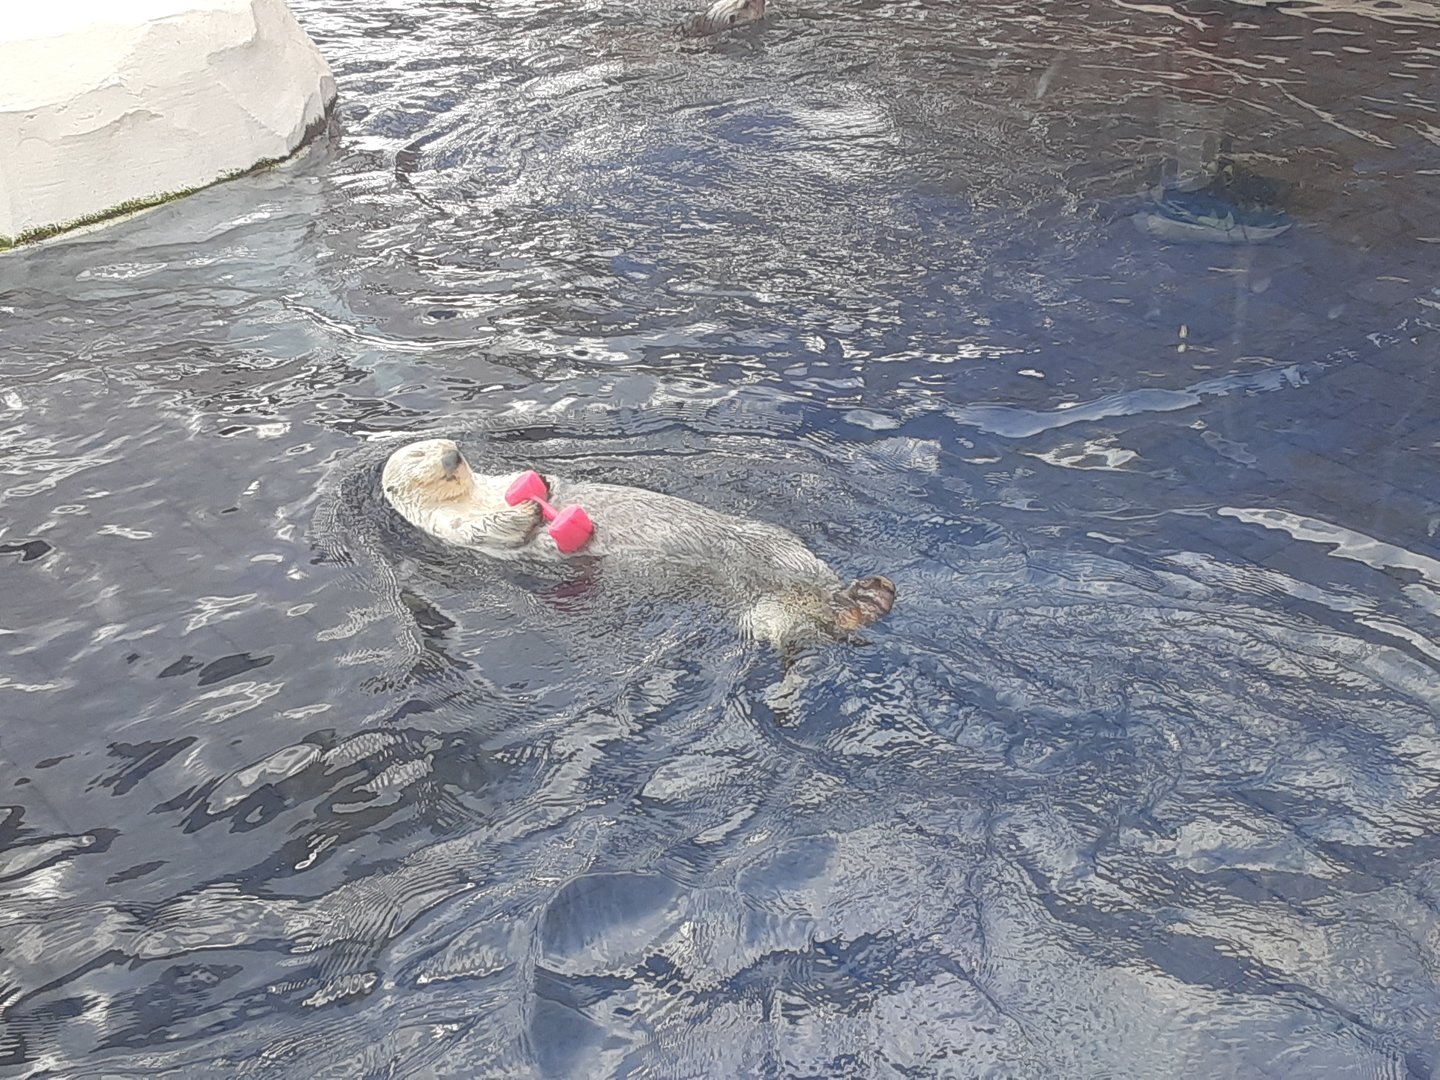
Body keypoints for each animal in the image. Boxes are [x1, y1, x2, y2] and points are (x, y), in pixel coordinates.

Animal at [381, 438, 895, 653]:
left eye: (450, 445)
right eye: (419, 454)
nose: (454, 455)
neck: (473, 493)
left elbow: (520, 482)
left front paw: (538, 485)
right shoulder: (448, 528)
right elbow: (489, 529)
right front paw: (528, 512)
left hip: (780, 545)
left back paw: (872, 594)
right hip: (767, 614)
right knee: (800, 627)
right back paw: (863, 605)